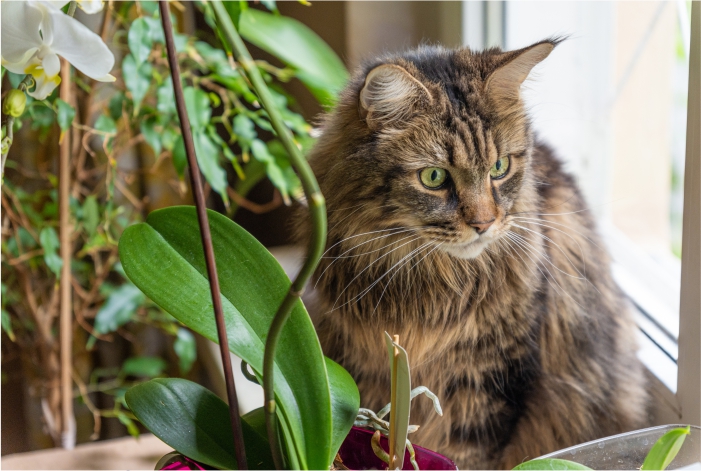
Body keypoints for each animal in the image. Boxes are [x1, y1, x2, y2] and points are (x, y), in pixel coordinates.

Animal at [296, 39, 644, 468]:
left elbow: (469, 451)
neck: (429, 284)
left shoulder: (491, 377)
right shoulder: (368, 365)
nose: (485, 223)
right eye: (433, 177)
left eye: (499, 167)